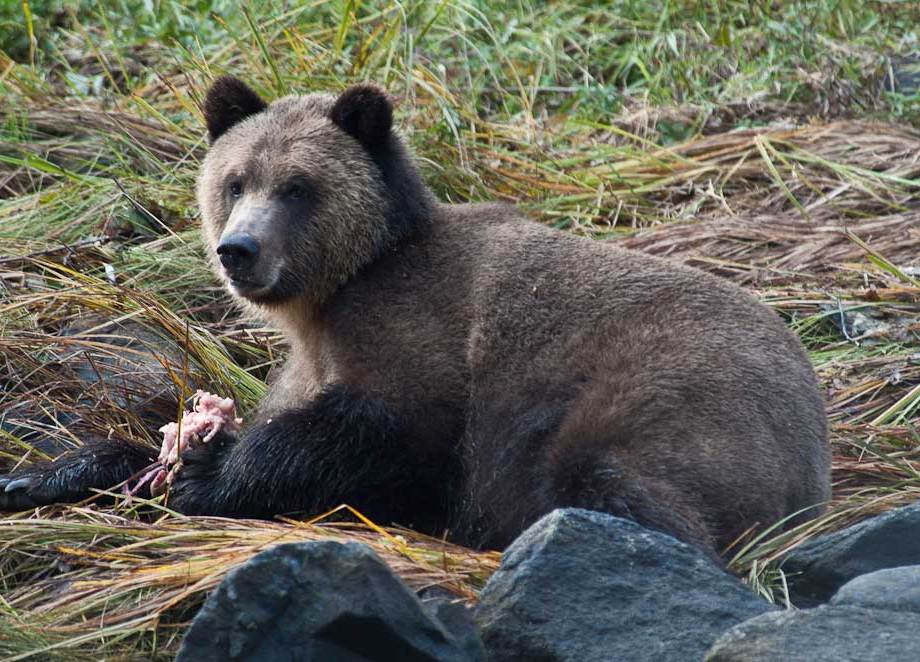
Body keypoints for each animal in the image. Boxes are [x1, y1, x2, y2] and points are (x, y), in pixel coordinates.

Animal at [0, 77, 831, 557]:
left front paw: (209, 472)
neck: (331, 297)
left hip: (675, 397)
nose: (239, 250)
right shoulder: (307, 361)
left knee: (616, 480)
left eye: (297, 187)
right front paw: (49, 474)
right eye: (235, 181)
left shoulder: (428, 350)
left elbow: (377, 441)